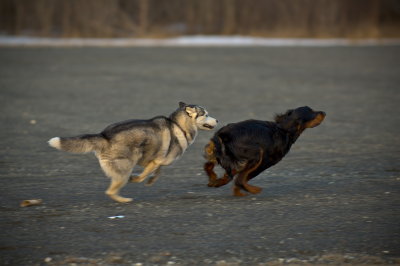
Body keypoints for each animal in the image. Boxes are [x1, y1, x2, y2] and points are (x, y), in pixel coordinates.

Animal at [50, 102, 219, 202]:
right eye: (206, 114)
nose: (217, 120)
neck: (178, 125)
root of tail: (104, 135)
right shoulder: (156, 161)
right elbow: (144, 174)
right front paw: (138, 179)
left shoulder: (158, 160)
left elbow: (158, 172)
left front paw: (151, 181)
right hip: (125, 169)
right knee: (110, 191)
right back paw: (125, 200)